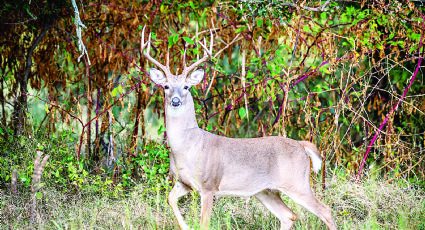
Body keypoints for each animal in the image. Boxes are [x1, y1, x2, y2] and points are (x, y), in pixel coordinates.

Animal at [141, 25, 336, 230]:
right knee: (289, 215)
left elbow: (204, 223)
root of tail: (302, 145)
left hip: (296, 182)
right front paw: (185, 226)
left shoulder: (209, 185)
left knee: (325, 210)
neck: (188, 147)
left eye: (186, 87)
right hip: (265, 191)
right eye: (165, 86)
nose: (176, 101)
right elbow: (170, 199)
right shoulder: (183, 182)